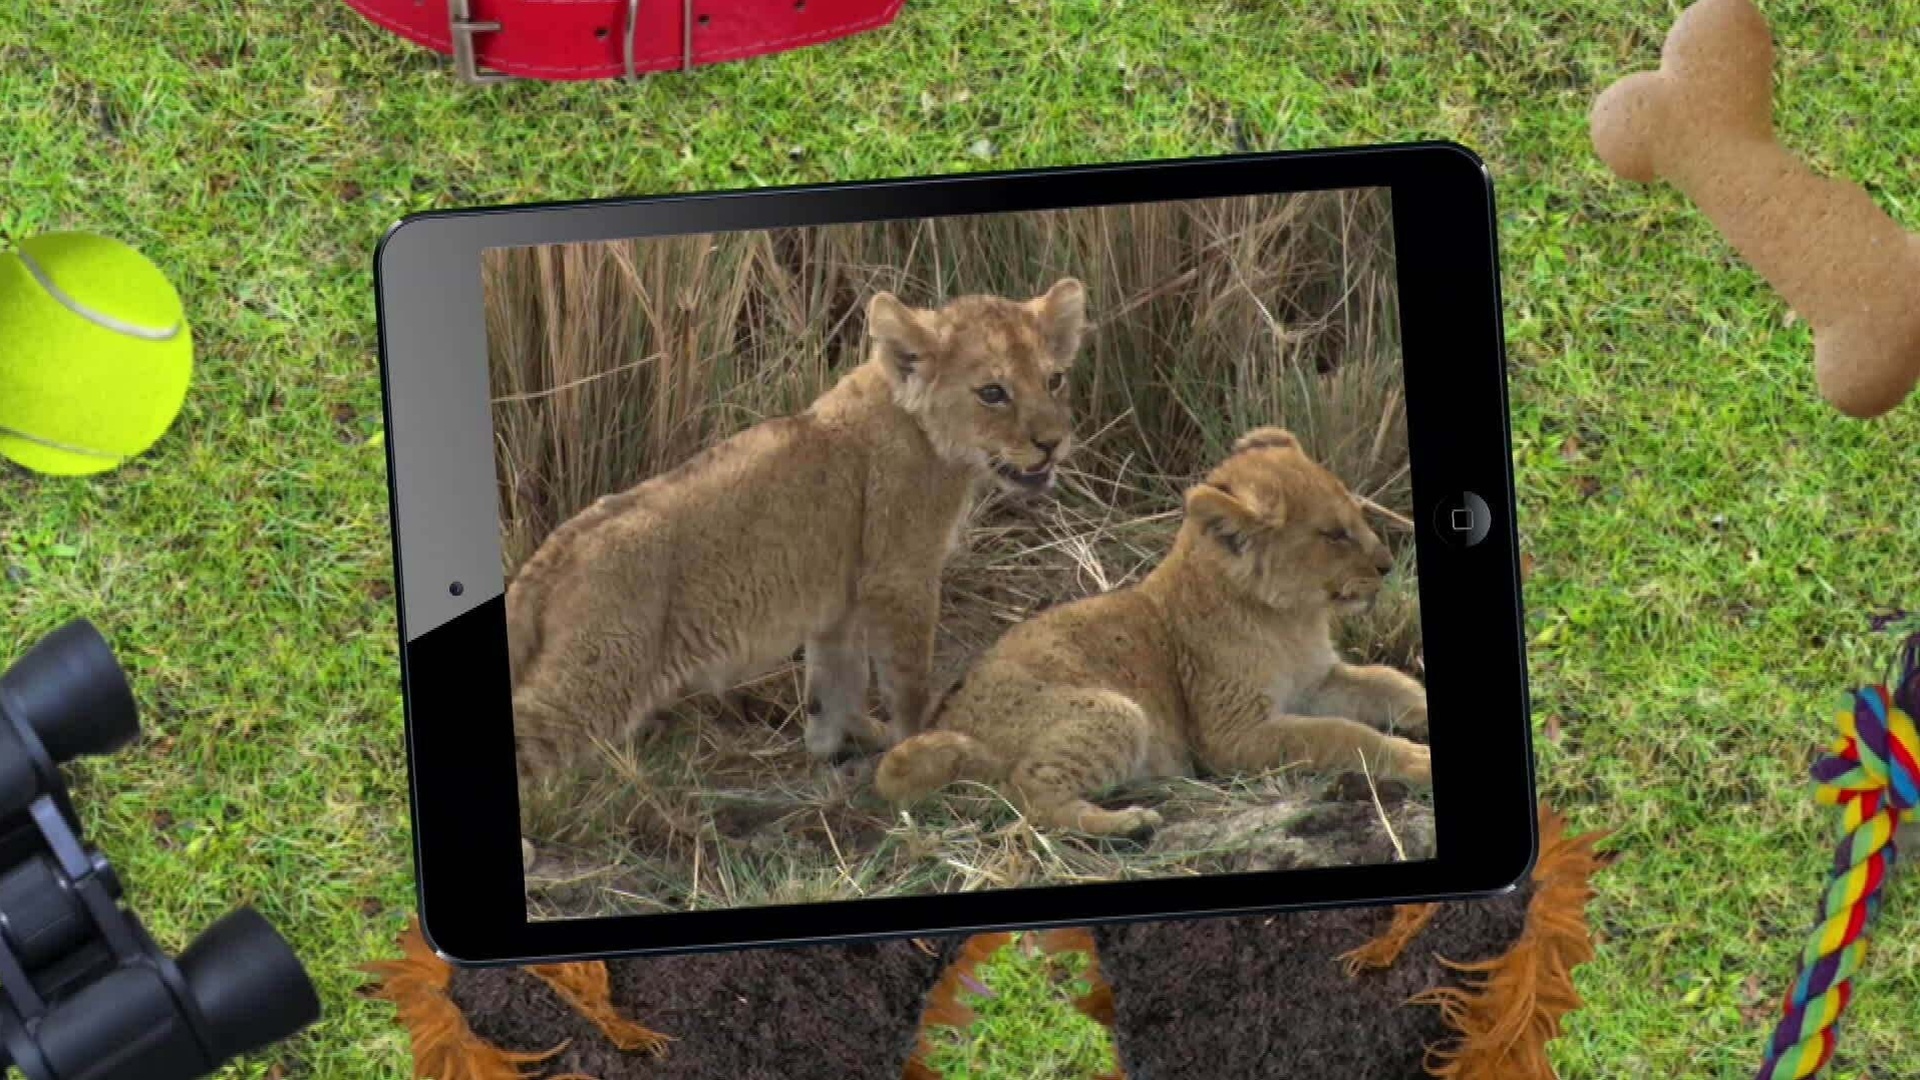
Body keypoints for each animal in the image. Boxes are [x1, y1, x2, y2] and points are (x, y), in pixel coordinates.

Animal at [506, 278, 1089, 798]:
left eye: (1055, 380)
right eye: (993, 393)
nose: (1053, 444)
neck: (920, 427)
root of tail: (551, 555)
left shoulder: (841, 602)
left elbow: (836, 682)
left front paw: (843, 743)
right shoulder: (900, 576)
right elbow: (906, 679)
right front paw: (915, 739)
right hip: (603, 672)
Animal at [873, 426, 1430, 838]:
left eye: (1356, 512)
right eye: (1333, 535)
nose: (1386, 565)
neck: (1293, 618)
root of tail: (954, 721)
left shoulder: (1317, 681)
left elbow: (1388, 682)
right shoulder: (1230, 734)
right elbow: (1342, 735)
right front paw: (1416, 760)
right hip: (1113, 713)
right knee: (1028, 796)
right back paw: (1128, 823)